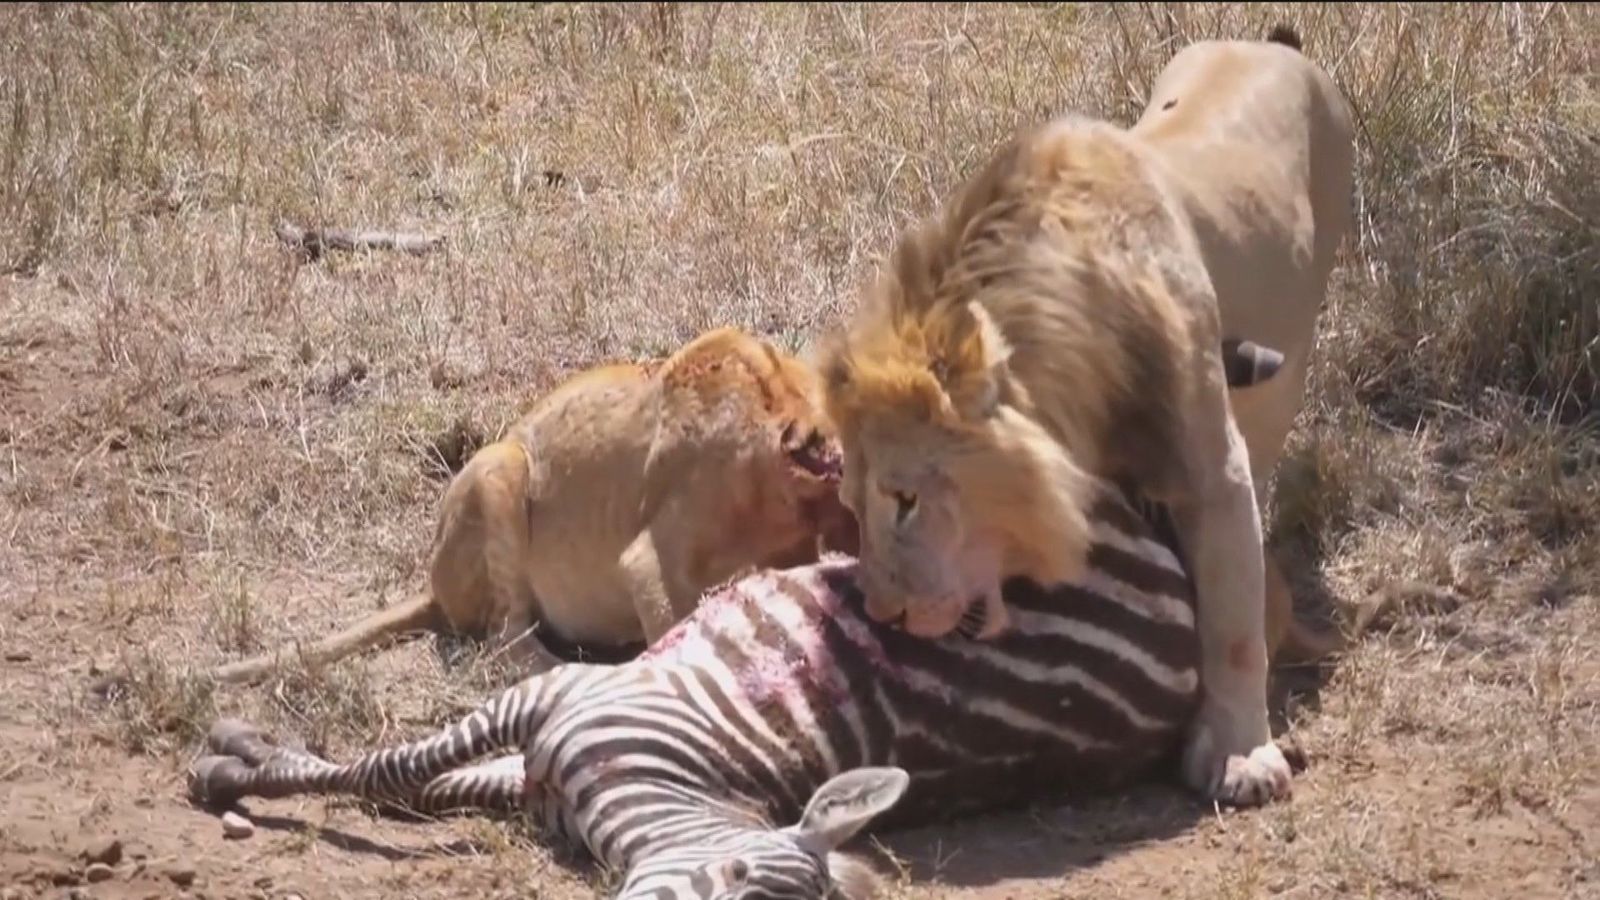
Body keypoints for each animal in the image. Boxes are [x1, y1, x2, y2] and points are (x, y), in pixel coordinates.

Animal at [188, 481, 1202, 900]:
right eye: (738, 880)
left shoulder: (557, 714)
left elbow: (399, 777)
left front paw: (234, 763)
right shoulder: (553, 710)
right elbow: (408, 775)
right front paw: (244, 752)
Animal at [816, 25, 1354, 808]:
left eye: (906, 500)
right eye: (853, 507)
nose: (884, 616)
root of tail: (1269, 42)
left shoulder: (1212, 470)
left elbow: (1232, 622)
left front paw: (1240, 753)